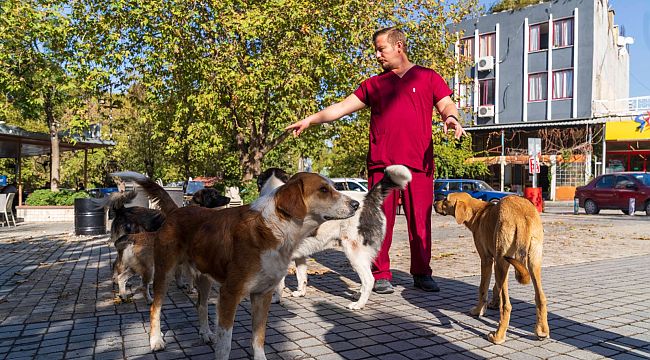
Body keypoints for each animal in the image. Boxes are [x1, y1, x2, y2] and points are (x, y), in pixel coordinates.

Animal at [117, 172, 360, 360]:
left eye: (332, 187)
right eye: (323, 190)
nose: (356, 204)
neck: (276, 228)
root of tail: (178, 210)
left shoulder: (263, 294)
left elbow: (258, 337)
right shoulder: (229, 294)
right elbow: (225, 345)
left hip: (204, 277)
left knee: (201, 305)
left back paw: (205, 332)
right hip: (164, 273)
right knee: (155, 308)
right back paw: (156, 340)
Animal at [256, 166, 408, 310]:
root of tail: (367, 199)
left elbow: (278, 285)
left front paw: (276, 299)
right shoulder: (300, 256)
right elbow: (301, 276)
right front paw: (301, 292)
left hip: (354, 253)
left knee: (369, 279)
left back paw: (359, 304)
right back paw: (358, 295)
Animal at [436, 193, 548, 344]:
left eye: (446, 199)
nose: (433, 203)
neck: (478, 212)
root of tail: (522, 214)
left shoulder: (487, 260)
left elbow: (483, 289)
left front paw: (478, 311)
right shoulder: (500, 262)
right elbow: (496, 287)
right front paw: (494, 302)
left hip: (501, 261)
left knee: (506, 305)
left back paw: (498, 336)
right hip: (532, 262)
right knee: (541, 297)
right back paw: (542, 331)